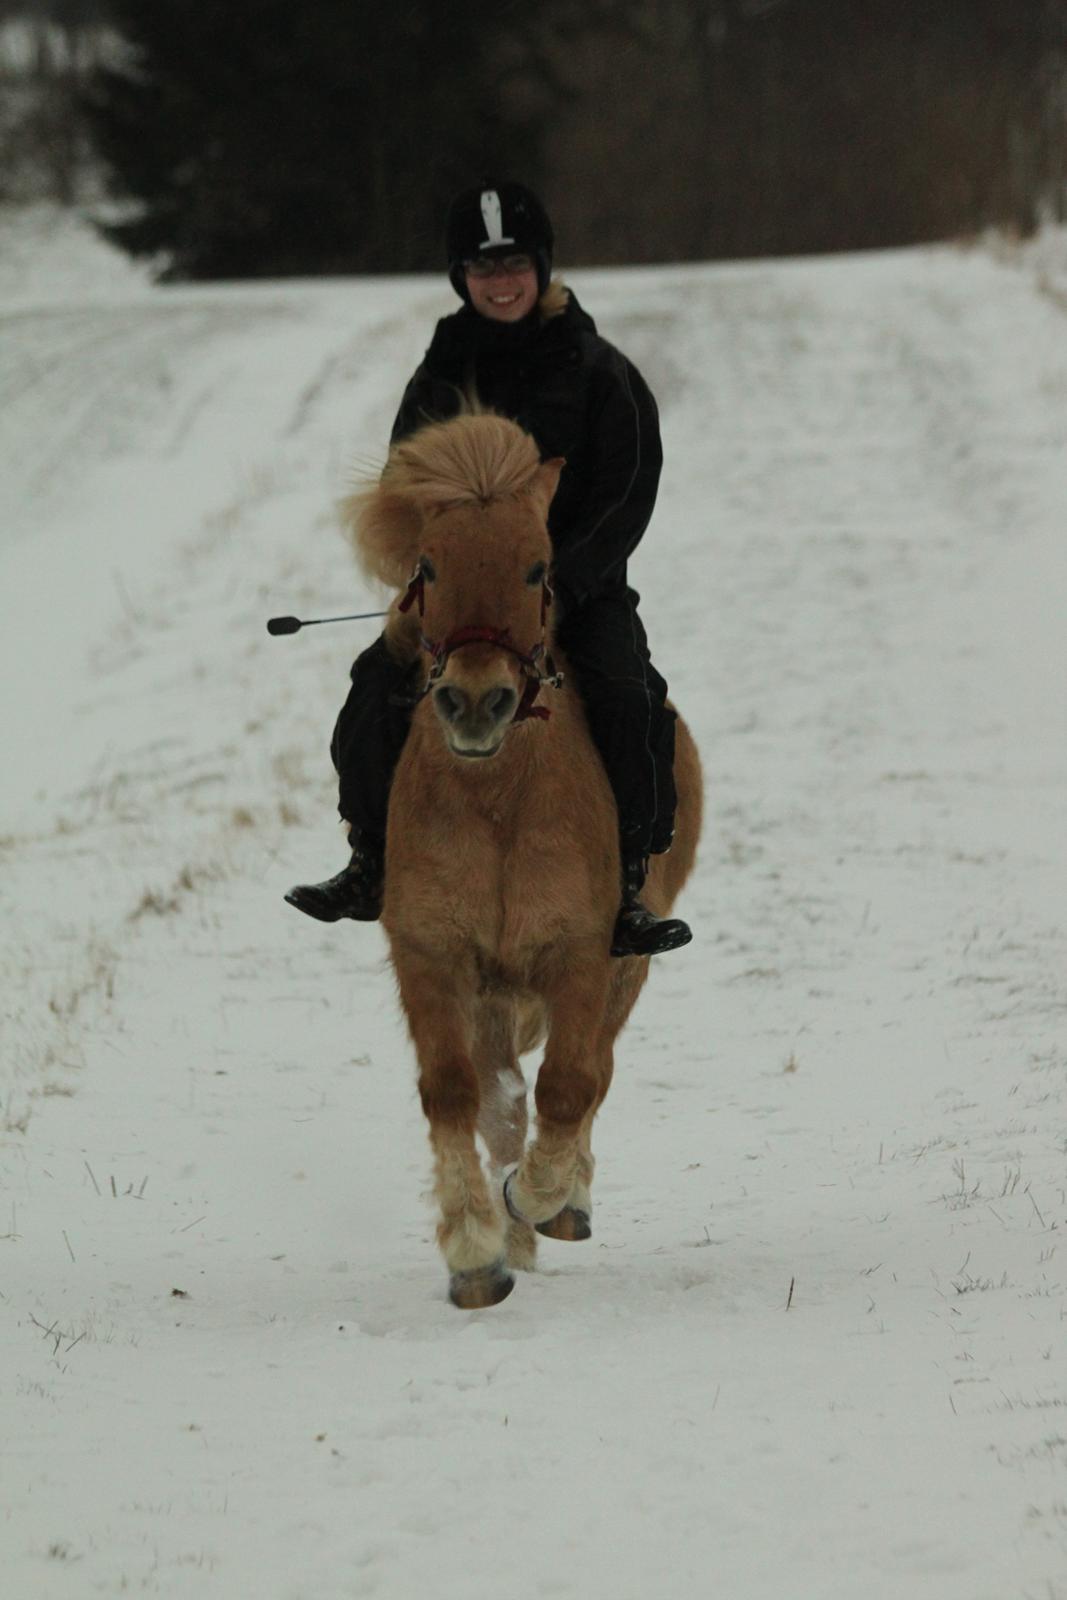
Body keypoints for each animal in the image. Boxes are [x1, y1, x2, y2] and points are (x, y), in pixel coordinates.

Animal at [347, 416, 703, 1312]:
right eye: (427, 564)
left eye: (536, 564)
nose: (475, 703)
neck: (497, 799)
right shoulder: (434, 957)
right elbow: (456, 1093)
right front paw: (477, 1253)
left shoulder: (580, 953)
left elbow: (571, 1084)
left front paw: (536, 1199)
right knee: (503, 1097)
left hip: (625, 965)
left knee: (593, 1072)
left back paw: (561, 1205)